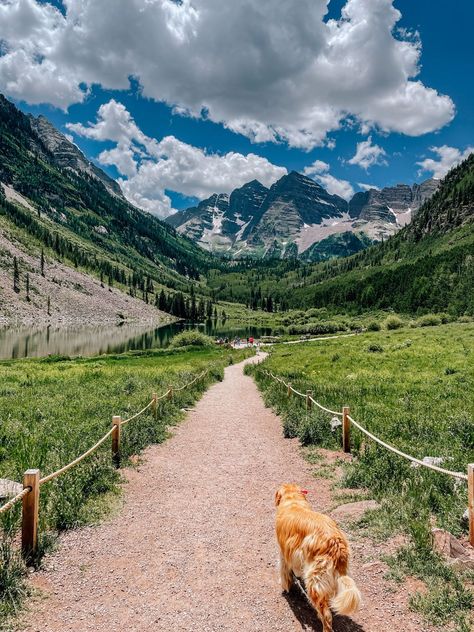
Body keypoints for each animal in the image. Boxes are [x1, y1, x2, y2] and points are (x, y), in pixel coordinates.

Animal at [274, 482, 360, 628]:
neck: (293, 500)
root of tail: (336, 544)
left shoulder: (284, 553)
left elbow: (284, 573)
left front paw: (286, 587)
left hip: (315, 580)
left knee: (326, 615)